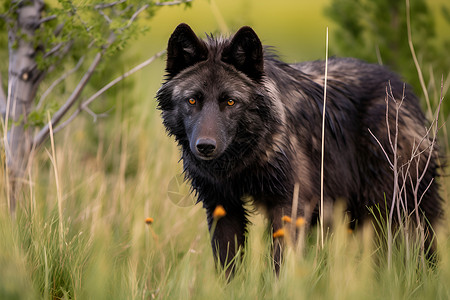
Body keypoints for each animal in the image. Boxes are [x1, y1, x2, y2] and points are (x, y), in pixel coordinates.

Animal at [156, 24, 442, 274]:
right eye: (192, 100)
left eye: (230, 102)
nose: (205, 146)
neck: (243, 160)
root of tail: (402, 87)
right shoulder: (221, 206)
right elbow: (228, 269)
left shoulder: (290, 206)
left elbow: (281, 266)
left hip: (392, 207)